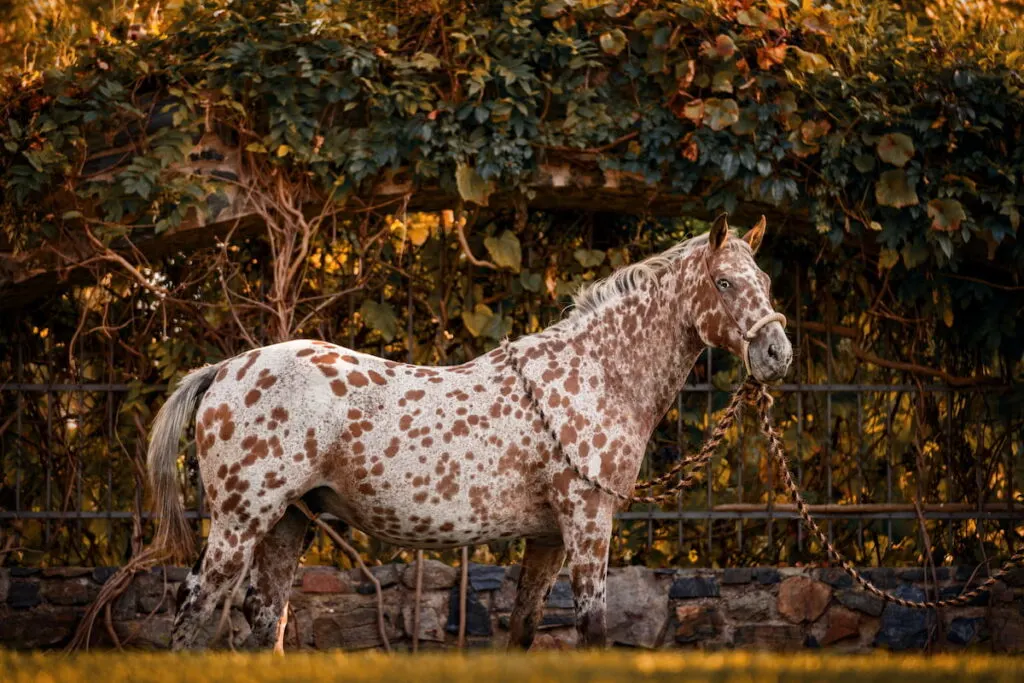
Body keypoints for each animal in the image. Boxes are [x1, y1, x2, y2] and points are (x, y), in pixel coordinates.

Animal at [148, 215, 794, 651]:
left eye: (764, 278)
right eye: (724, 282)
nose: (777, 353)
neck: (596, 374)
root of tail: (224, 370)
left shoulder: (549, 537)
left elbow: (525, 627)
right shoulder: (588, 522)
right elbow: (592, 625)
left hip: (288, 521)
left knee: (266, 618)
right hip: (240, 522)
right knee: (195, 608)